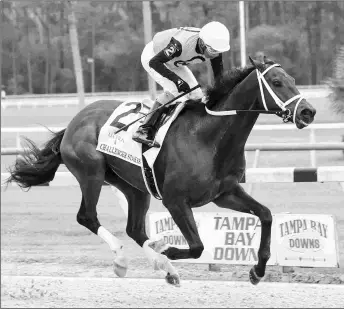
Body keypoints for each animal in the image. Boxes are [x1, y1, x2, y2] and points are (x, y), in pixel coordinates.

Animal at [6, 56, 318, 286]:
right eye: (277, 82)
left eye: (292, 80)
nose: (308, 112)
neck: (210, 136)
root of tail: (74, 122)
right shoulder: (175, 200)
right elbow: (197, 246)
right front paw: (166, 250)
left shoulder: (225, 193)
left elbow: (266, 214)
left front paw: (258, 270)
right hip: (91, 173)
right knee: (87, 216)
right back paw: (125, 260)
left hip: (133, 186)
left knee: (134, 228)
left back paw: (164, 266)